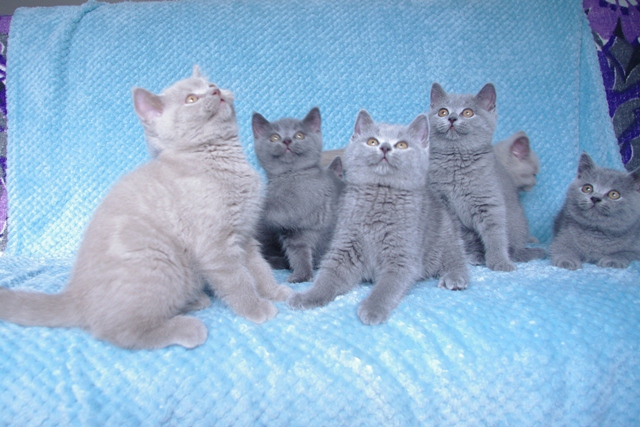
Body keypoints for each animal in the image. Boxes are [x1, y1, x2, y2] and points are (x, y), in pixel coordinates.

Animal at [0, 66, 292, 350]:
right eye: (191, 99)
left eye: (211, 85)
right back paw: (187, 328)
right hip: (157, 263)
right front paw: (255, 308)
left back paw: (194, 301)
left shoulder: (245, 236)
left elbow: (259, 268)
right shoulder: (216, 246)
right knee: (118, 331)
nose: (216, 91)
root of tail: (75, 296)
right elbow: (237, 279)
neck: (221, 160)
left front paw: (275, 292)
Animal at [253, 107, 345, 282]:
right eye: (274, 137)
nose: (287, 141)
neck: (290, 175)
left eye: (299, 135)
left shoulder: (301, 205)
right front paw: (302, 275)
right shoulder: (292, 234)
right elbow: (298, 253)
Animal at [287, 110, 469, 325]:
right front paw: (308, 296)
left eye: (402, 145)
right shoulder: (345, 246)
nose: (385, 147)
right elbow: (327, 276)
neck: (380, 195)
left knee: (455, 255)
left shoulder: (402, 256)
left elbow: (386, 286)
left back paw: (455, 278)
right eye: (372, 141)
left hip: (445, 234)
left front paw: (372, 309)